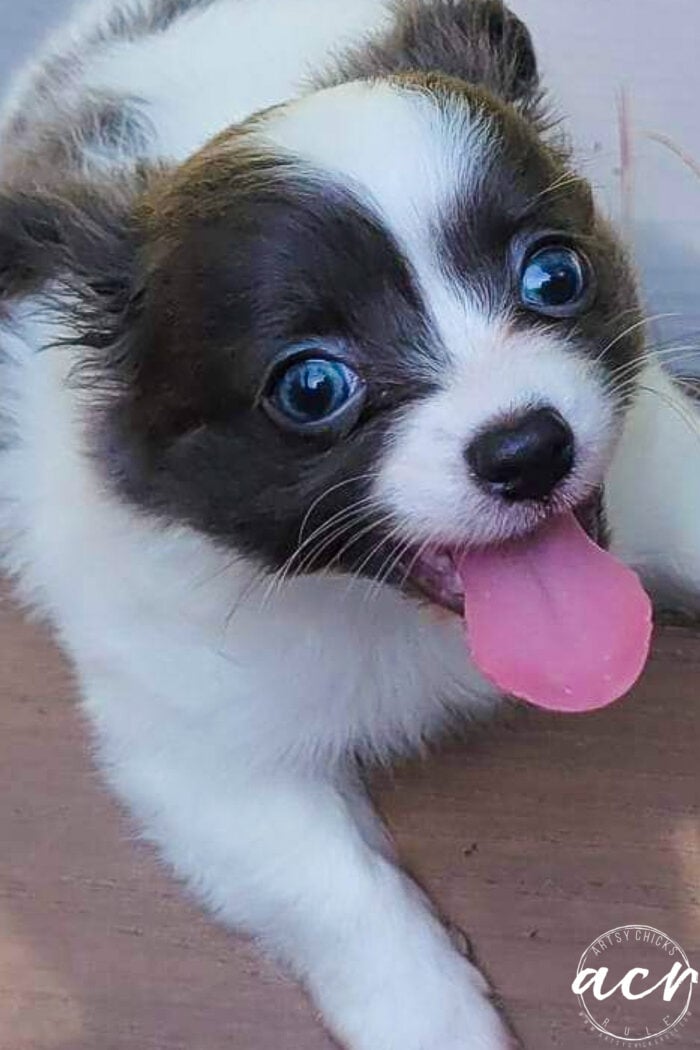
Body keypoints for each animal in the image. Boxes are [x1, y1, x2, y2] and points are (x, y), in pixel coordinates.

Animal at [0, 2, 696, 1050]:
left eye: (555, 275)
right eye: (312, 388)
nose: (529, 448)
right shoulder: (205, 752)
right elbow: (340, 900)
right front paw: (439, 1026)